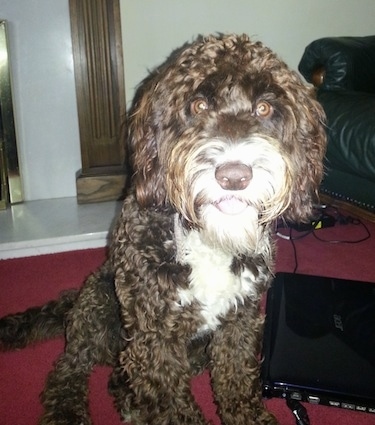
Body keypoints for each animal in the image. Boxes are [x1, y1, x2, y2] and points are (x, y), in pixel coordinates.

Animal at [0, 34, 326, 424]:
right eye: (198, 105)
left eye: (264, 108)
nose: (234, 176)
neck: (209, 239)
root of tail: (71, 302)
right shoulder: (155, 336)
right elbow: (171, 403)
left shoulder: (241, 318)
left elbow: (235, 379)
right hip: (98, 302)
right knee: (70, 365)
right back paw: (69, 408)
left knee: (119, 374)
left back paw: (128, 401)